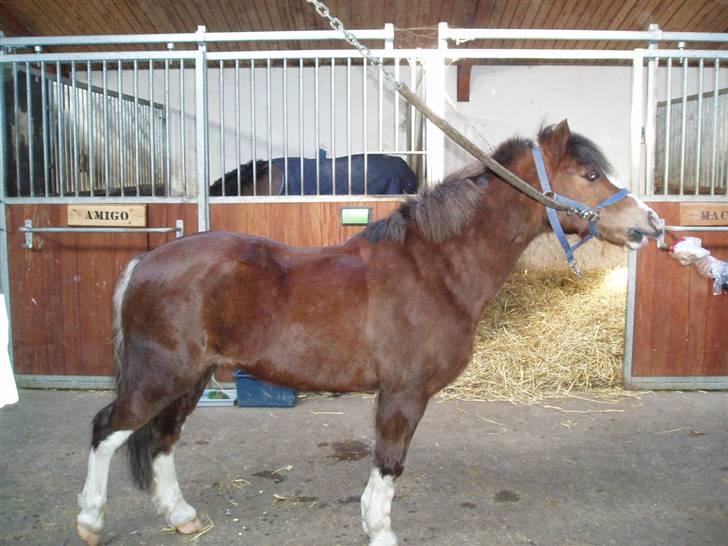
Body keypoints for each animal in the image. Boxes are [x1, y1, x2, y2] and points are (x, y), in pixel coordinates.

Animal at [77, 120, 664, 544]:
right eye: (590, 176)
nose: (652, 224)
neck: (433, 269)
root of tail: (146, 262)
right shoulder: (403, 393)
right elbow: (389, 463)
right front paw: (379, 530)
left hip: (191, 379)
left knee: (161, 440)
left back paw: (181, 516)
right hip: (161, 376)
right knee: (109, 429)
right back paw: (90, 521)